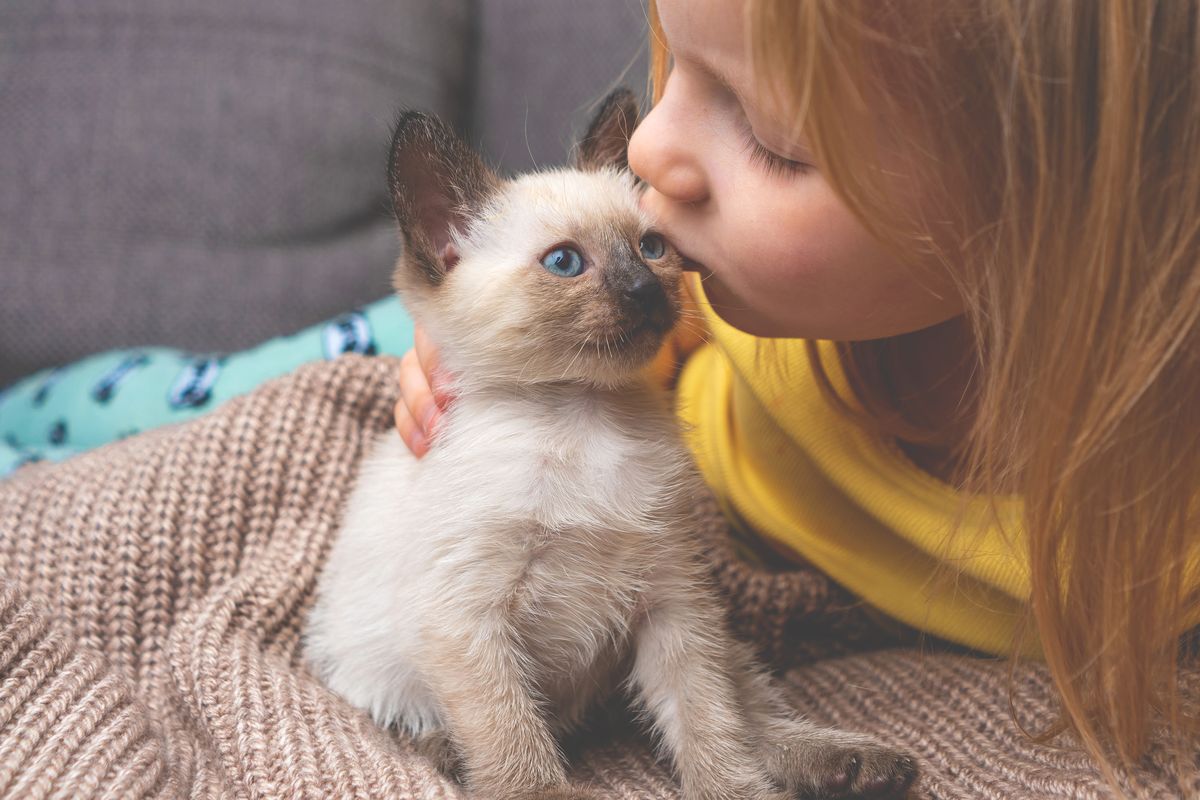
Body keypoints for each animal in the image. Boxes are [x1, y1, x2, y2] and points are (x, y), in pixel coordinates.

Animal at [304, 89, 912, 800]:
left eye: (652, 247)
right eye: (564, 263)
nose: (646, 292)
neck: (582, 417)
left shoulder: (674, 601)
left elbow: (709, 725)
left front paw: (735, 791)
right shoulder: (467, 618)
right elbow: (513, 739)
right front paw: (541, 790)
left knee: (751, 712)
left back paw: (847, 761)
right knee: (455, 730)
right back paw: (443, 752)